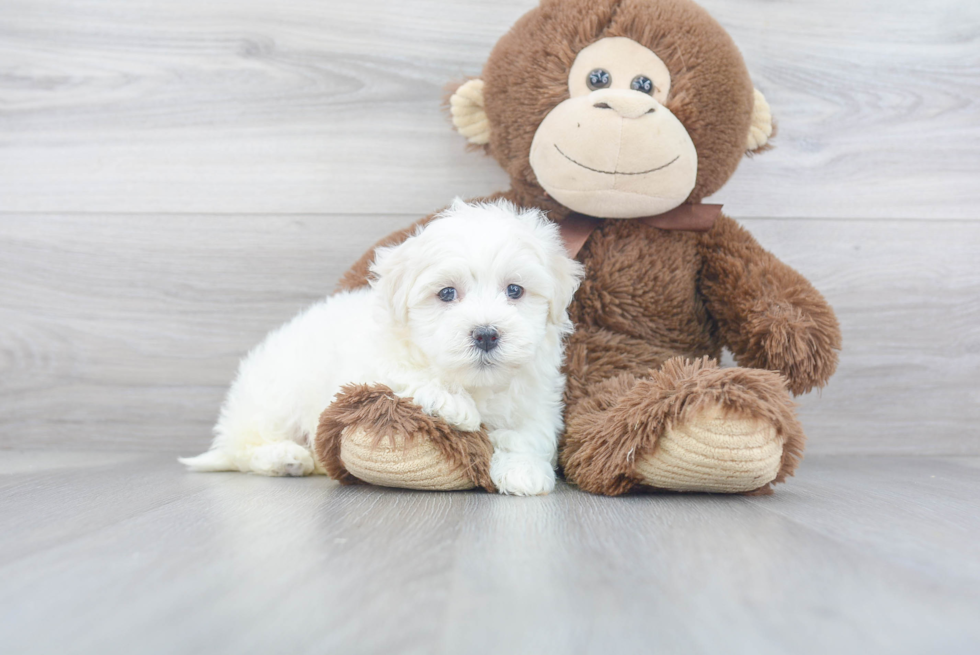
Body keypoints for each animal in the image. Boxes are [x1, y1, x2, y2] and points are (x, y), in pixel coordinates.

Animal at [178, 200, 580, 498]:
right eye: (447, 293)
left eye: (515, 290)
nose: (485, 334)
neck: (475, 383)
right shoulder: (365, 370)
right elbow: (404, 377)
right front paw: (453, 405)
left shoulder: (537, 396)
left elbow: (531, 433)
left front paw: (523, 469)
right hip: (276, 396)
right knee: (245, 448)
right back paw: (286, 457)